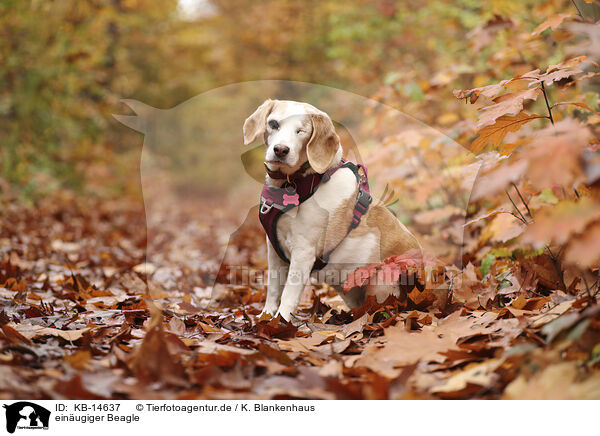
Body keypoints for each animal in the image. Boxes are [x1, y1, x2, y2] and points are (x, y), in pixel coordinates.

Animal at [244, 99, 422, 320]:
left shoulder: (303, 251)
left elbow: (288, 294)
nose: (280, 150)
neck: (299, 182)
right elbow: (274, 290)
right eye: (274, 124)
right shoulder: (274, 249)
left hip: (383, 280)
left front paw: (280, 321)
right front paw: (266, 318)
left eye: (301, 131)